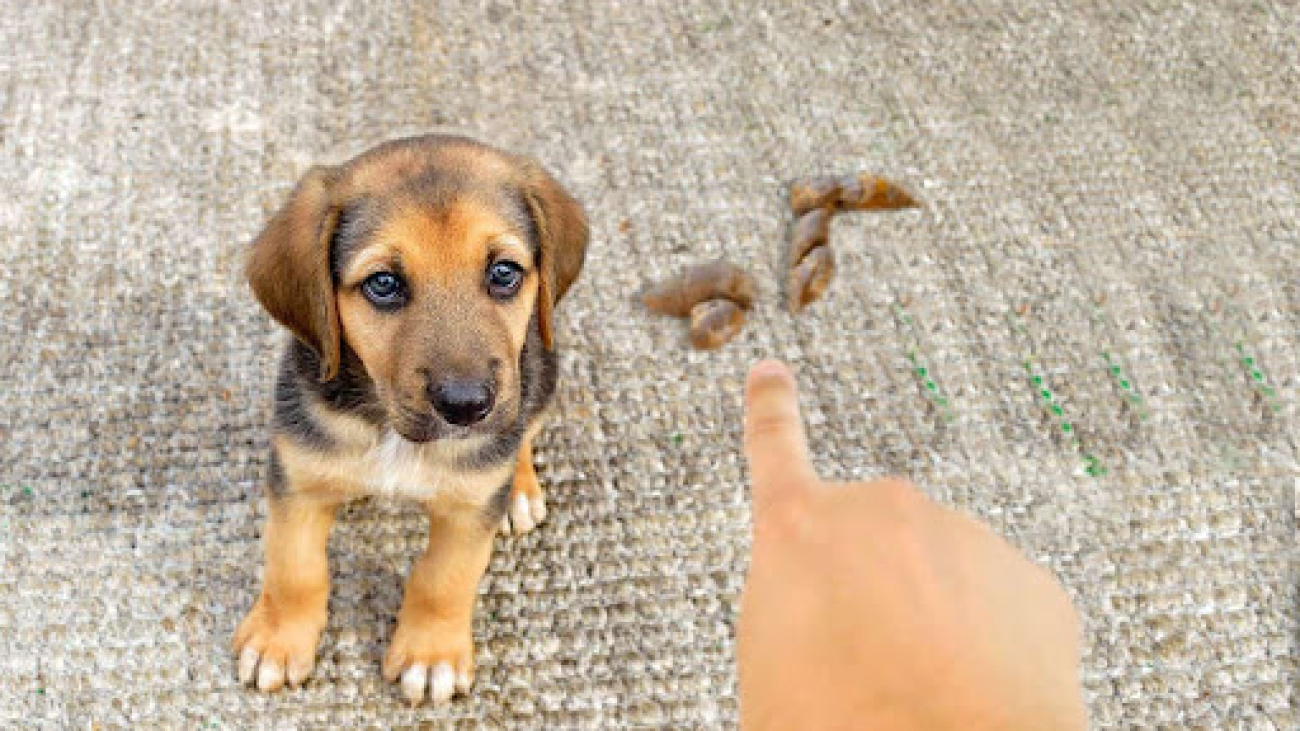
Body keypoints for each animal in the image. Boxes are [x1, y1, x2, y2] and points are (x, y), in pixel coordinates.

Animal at [233, 133, 590, 702]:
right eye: (383, 283)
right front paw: (277, 640)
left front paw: (430, 654)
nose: (466, 406)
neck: (390, 431)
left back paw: (519, 490)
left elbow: (444, 580)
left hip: (541, 375)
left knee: (524, 434)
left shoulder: (468, 510)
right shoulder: (297, 481)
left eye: (504, 273)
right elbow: (294, 570)